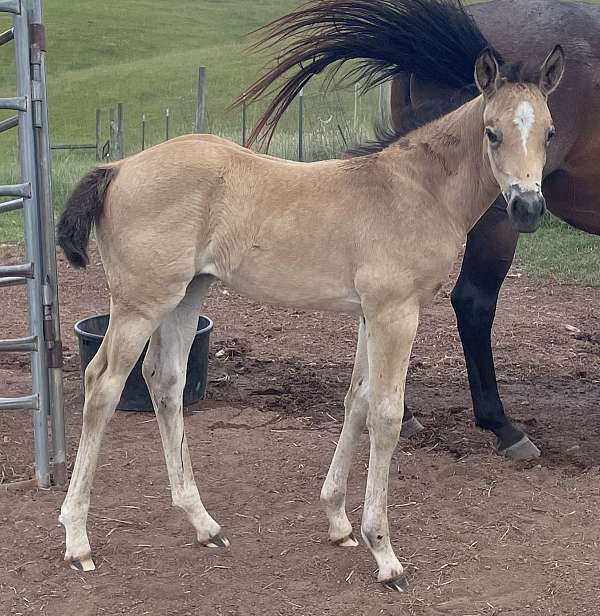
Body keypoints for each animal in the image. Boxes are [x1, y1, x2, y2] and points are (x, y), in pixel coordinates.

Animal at [236, 0, 600, 462]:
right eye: (492, 133)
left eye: (550, 133)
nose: (530, 208)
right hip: (494, 219)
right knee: (473, 302)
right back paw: (502, 427)